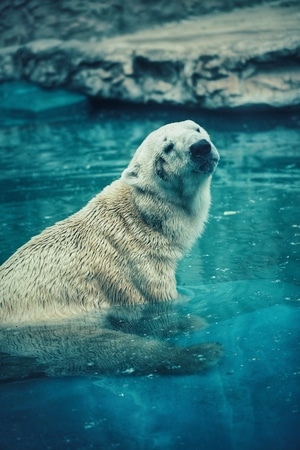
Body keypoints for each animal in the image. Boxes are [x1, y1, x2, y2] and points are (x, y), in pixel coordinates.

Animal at [0, 121, 220, 378]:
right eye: (167, 147)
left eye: (196, 129)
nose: (201, 147)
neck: (140, 220)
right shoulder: (139, 271)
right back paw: (202, 354)